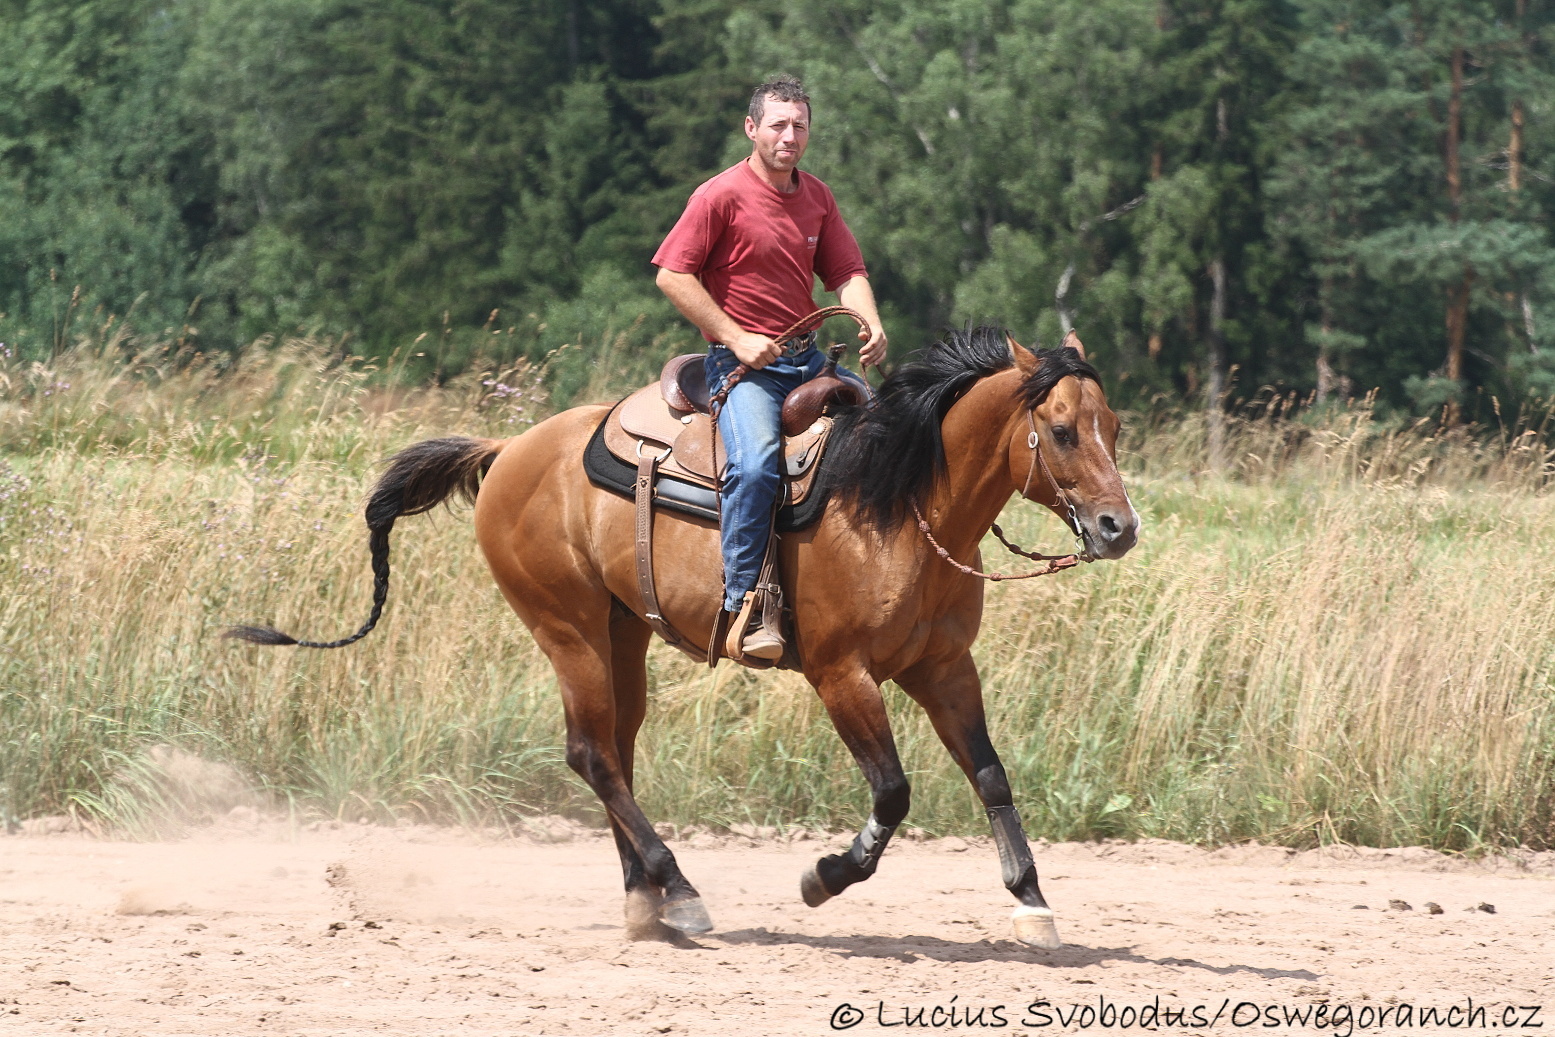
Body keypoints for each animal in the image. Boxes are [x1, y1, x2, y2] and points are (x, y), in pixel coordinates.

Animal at [225, 324, 1138, 951]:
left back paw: (646, 901)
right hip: (567, 628)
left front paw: (1030, 900)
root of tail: (510, 447)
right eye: (1061, 430)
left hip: (621, 633)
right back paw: (679, 887)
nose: (1117, 527)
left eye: (1115, 427)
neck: (896, 502)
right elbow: (892, 792)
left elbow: (989, 774)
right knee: (590, 753)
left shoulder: (944, 667)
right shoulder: (841, 673)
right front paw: (821, 878)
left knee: (613, 748)